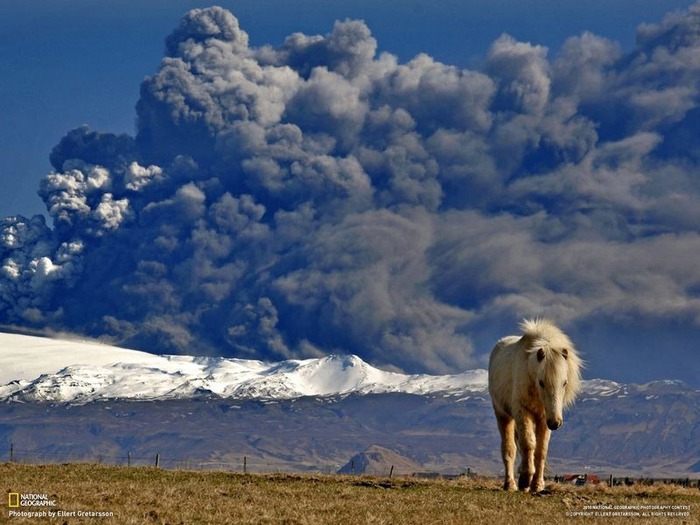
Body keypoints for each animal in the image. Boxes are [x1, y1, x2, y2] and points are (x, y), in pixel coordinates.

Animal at [486, 318, 580, 494]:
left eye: (564, 383)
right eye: (541, 382)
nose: (556, 423)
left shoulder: (544, 418)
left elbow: (541, 450)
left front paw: (537, 484)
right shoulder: (523, 412)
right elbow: (528, 444)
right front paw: (525, 480)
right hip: (503, 415)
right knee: (509, 450)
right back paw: (510, 484)